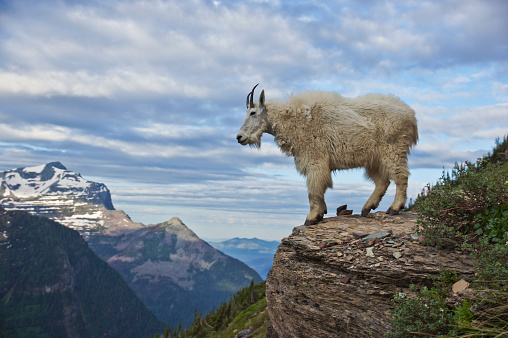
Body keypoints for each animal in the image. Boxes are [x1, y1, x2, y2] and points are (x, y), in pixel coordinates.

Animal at [236, 84, 418, 224]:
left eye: (252, 112)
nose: (239, 137)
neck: (293, 120)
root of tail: (411, 115)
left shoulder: (315, 159)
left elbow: (314, 189)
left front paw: (312, 217)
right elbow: (319, 188)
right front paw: (322, 212)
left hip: (392, 149)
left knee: (401, 176)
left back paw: (395, 207)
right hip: (373, 159)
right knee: (382, 181)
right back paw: (367, 208)